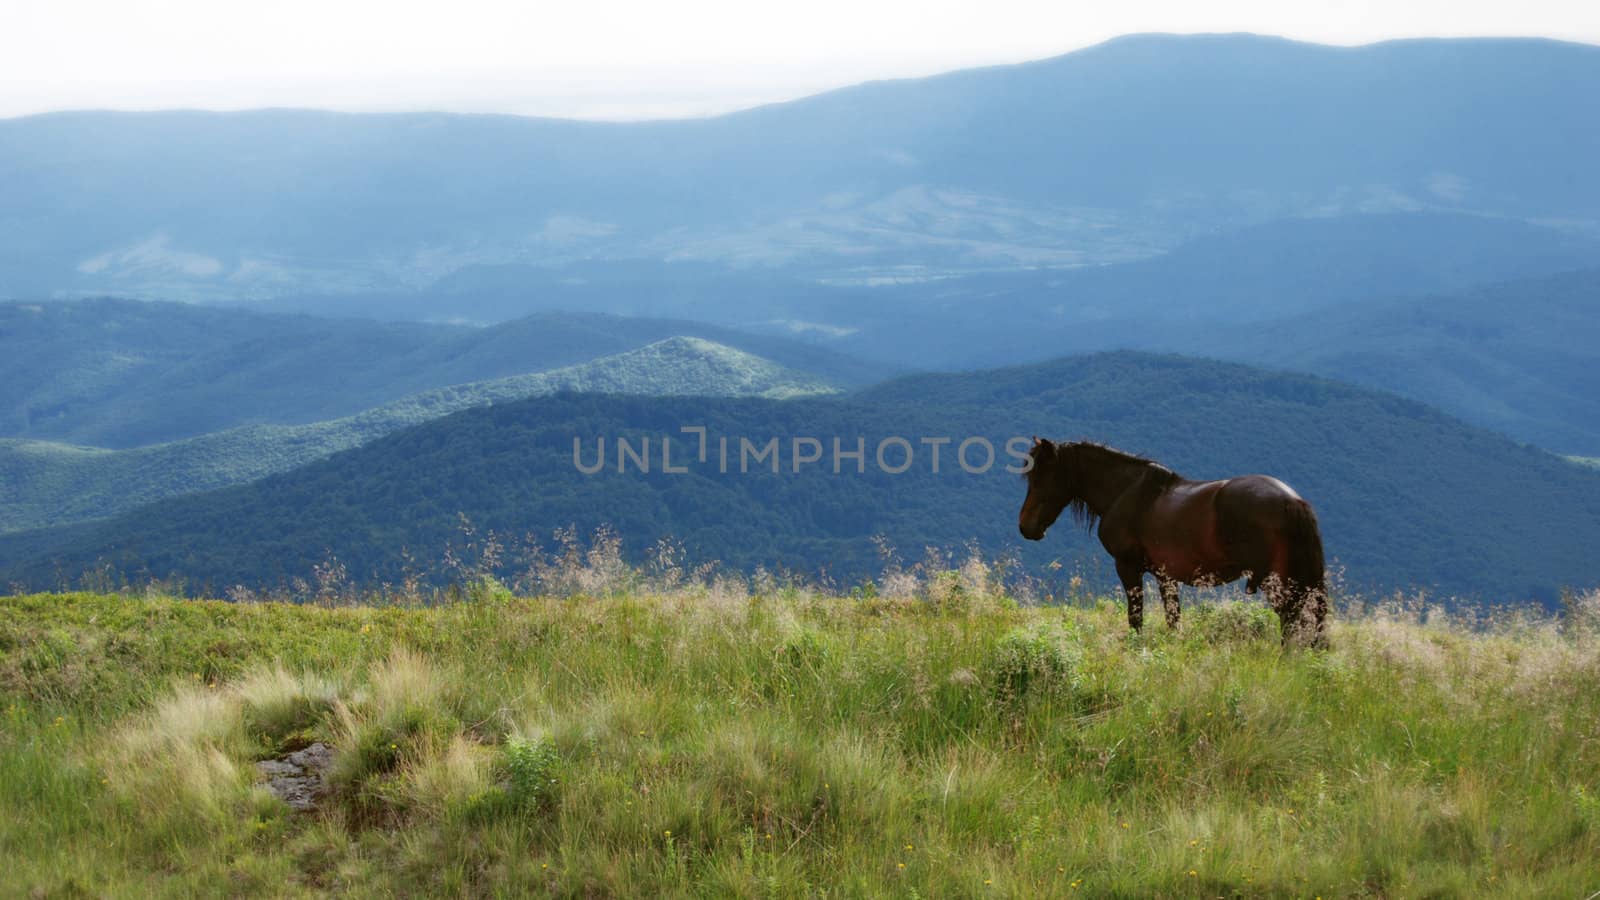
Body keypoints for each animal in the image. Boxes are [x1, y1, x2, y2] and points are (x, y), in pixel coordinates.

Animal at [1017, 435, 1331, 640]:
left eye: (1041, 476)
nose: (1025, 527)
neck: (1125, 492)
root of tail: (1293, 501)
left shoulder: (1128, 567)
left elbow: (1136, 618)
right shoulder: (1164, 576)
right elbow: (1173, 619)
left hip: (1275, 581)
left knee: (1290, 621)